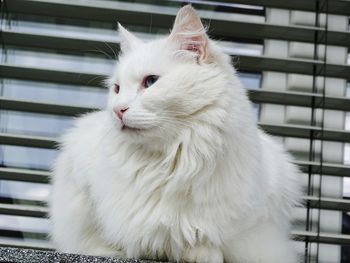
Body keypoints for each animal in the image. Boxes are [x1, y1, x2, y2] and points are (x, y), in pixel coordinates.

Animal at [48, 4, 300, 263]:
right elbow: (105, 240)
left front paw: (202, 254)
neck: (170, 161)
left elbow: (211, 245)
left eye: (150, 82)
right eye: (117, 89)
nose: (118, 110)